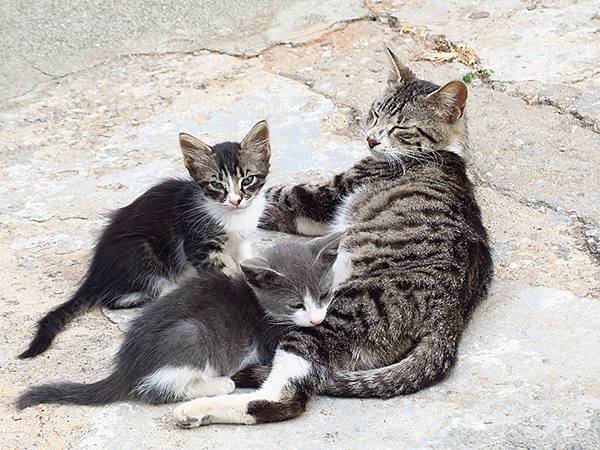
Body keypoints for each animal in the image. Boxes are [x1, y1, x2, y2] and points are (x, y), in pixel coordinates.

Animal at [16, 232, 342, 408]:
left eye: (324, 294)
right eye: (296, 304)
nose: (315, 320)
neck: (258, 301)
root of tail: (126, 366)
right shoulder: (267, 338)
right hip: (189, 334)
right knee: (156, 390)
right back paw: (219, 384)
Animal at [19, 119, 272, 358]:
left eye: (247, 180)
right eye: (216, 185)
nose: (235, 200)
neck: (235, 216)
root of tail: (95, 274)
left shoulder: (242, 239)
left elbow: (245, 260)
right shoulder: (198, 244)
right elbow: (220, 273)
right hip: (141, 251)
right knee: (115, 299)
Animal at [172, 46, 492, 428]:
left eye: (400, 127)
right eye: (375, 113)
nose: (371, 139)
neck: (446, 151)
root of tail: (451, 319)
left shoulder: (323, 196)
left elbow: (276, 194)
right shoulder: (321, 218)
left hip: (327, 311)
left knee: (285, 398)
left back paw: (199, 408)